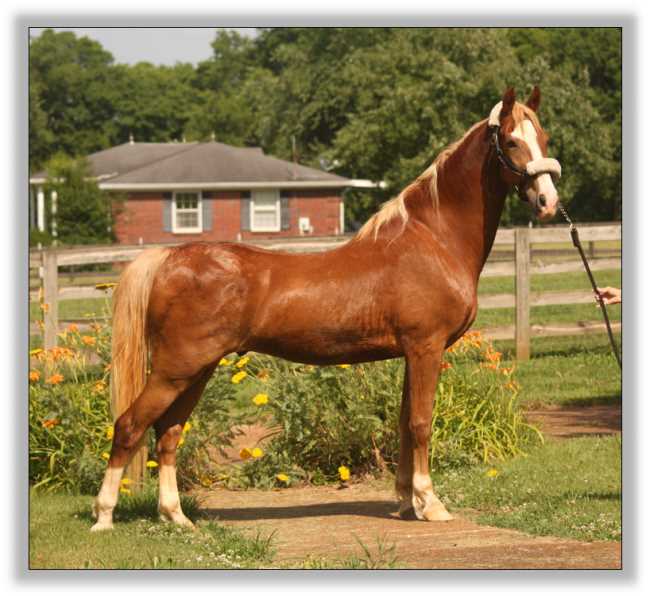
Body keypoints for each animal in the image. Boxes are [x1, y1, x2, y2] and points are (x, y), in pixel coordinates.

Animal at [90, 87, 556, 532]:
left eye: (544, 138)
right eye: (511, 141)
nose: (548, 201)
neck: (432, 240)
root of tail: (170, 257)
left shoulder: (412, 354)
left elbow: (404, 425)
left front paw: (408, 502)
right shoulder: (427, 348)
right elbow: (421, 423)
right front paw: (431, 504)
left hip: (195, 371)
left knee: (168, 434)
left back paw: (175, 516)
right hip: (175, 369)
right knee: (129, 426)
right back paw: (104, 516)